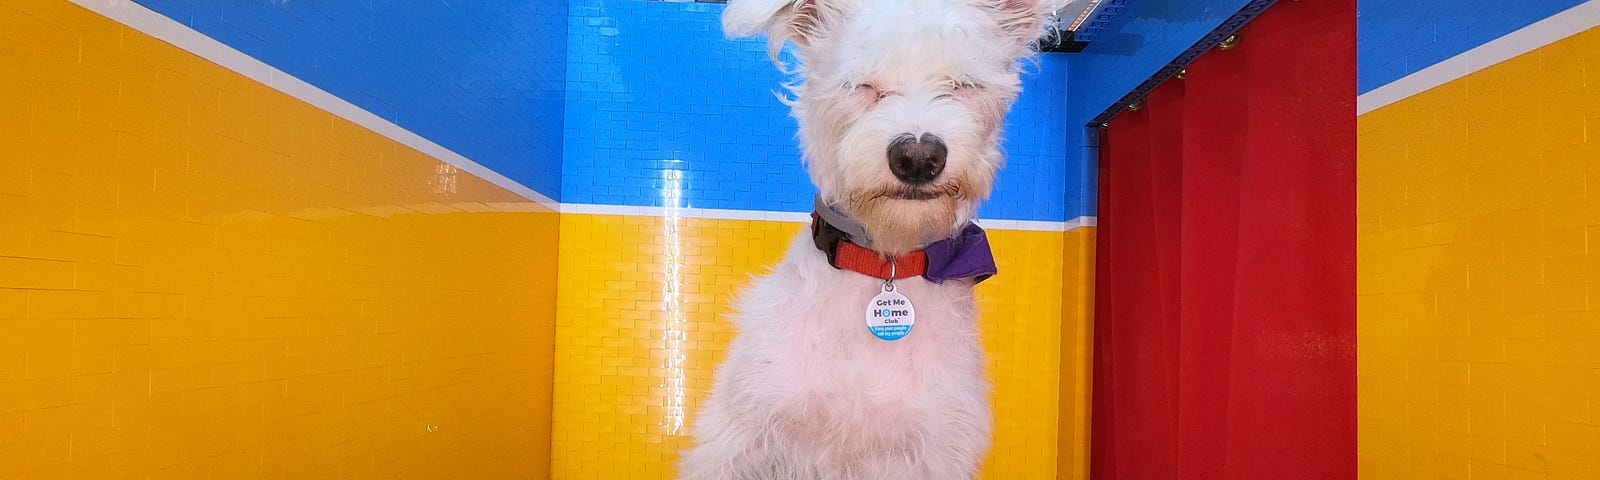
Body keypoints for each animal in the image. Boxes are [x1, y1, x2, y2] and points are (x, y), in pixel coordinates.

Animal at [675, 0, 1049, 480]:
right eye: (863, 85)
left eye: (963, 85)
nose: (918, 157)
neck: (885, 263)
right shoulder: (741, 443)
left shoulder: (935, 452)